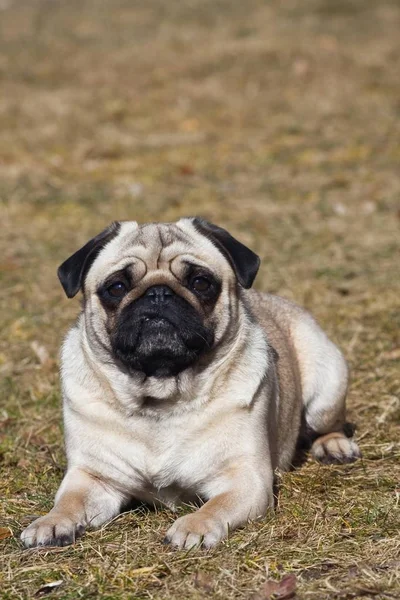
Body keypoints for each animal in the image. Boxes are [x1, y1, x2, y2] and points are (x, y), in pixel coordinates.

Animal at [20, 219, 360, 548]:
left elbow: (216, 506)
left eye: (200, 283)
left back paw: (334, 446)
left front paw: (194, 525)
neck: (160, 395)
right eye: (116, 287)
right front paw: (50, 522)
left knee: (327, 423)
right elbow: (69, 502)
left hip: (325, 387)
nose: (158, 293)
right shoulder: (93, 477)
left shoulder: (244, 477)